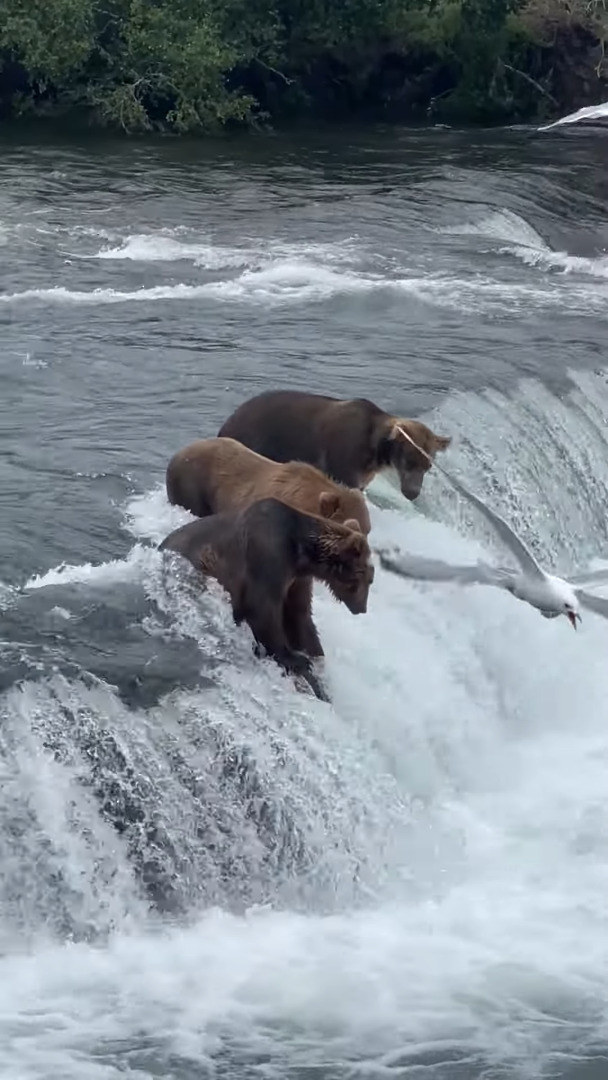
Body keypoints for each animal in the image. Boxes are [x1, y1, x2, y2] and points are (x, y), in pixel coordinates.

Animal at [159, 494, 373, 699]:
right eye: (369, 578)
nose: (362, 609)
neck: (301, 552)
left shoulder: (296, 580)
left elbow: (298, 617)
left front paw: (314, 657)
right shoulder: (267, 552)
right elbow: (262, 608)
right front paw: (297, 659)